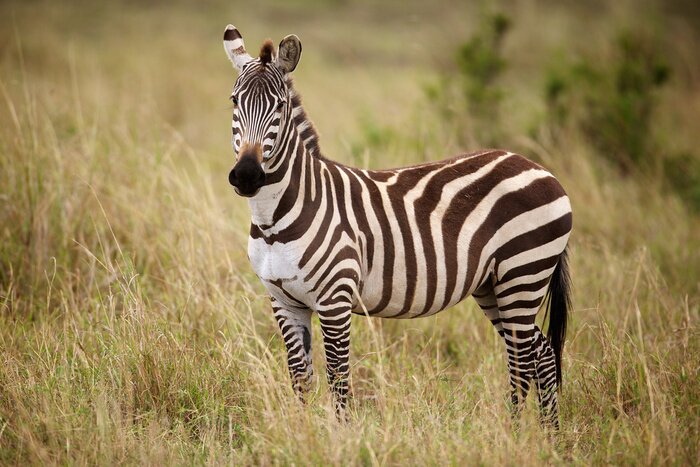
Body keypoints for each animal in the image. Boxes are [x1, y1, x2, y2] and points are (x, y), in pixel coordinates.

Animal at [222, 25, 573, 427]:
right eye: (234, 101)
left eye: (279, 106)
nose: (247, 176)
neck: (274, 222)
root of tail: (539, 167)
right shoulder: (283, 301)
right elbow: (301, 378)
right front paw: (303, 431)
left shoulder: (335, 299)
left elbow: (338, 378)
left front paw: (340, 435)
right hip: (494, 285)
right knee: (541, 354)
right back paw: (548, 435)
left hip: (523, 273)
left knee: (521, 361)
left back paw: (514, 433)